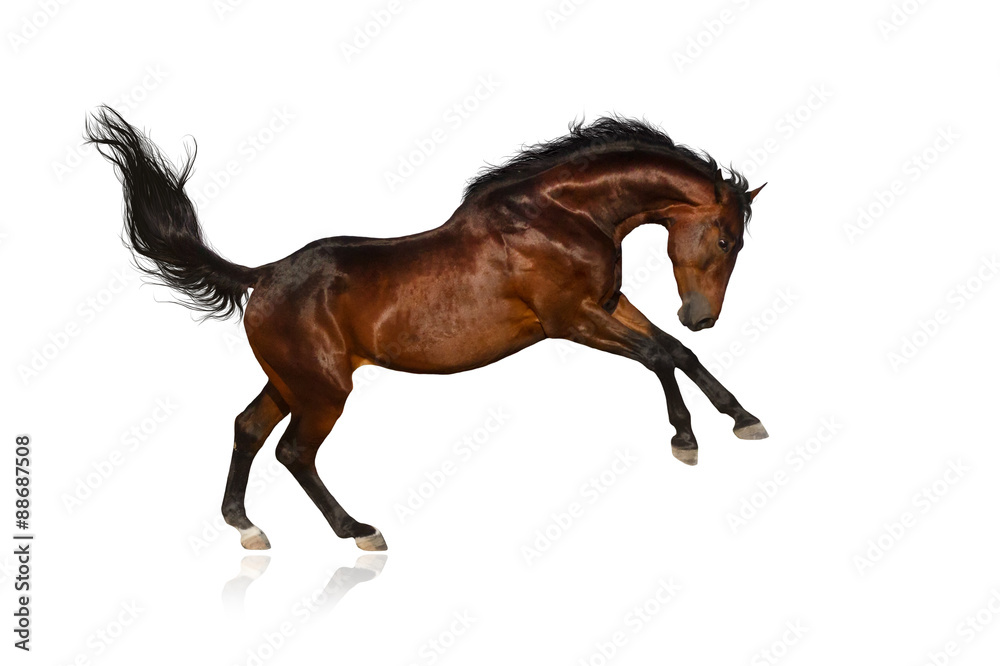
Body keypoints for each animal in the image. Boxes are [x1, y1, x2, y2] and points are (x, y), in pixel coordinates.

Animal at [85, 107, 768, 552]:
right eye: (726, 240)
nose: (702, 316)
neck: (560, 216)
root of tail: (262, 276)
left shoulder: (608, 302)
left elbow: (675, 352)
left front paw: (741, 419)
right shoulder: (571, 318)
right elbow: (658, 355)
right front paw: (687, 438)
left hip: (291, 382)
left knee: (248, 429)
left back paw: (246, 527)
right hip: (323, 390)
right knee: (293, 452)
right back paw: (359, 531)